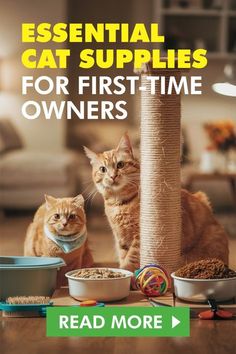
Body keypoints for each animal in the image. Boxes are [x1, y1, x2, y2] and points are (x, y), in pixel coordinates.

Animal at [84, 133, 229, 272]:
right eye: (103, 169)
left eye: (120, 165)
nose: (112, 176)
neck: (119, 204)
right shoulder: (120, 237)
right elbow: (123, 255)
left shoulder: (139, 237)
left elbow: (130, 259)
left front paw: (127, 273)